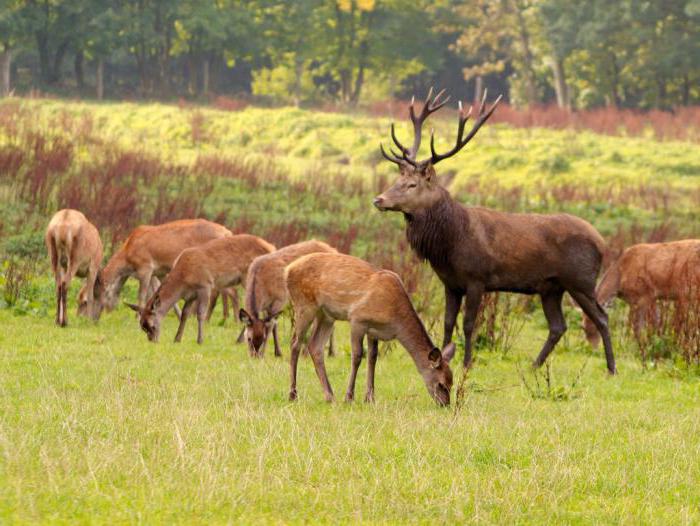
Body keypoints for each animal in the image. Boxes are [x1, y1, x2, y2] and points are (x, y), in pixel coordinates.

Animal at [126, 236, 276, 346]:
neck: (183, 278)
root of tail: (271, 248)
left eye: (152, 325)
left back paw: (240, 340)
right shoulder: (190, 294)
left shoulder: (205, 285)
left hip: (248, 278)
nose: (153, 341)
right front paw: (177, 338)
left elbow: (200, 314)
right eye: (142, 326)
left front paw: (200, 340)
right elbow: (185, 314)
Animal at [286, 255, 456, 408]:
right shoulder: (358, 319)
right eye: (441, 384)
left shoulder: (374, 330)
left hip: (326, 315)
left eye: (452, 383)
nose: (445, 404)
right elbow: (357, 356)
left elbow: (372, 358)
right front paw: (349, 397)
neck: (395, 319)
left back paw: (330, 396)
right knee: (295, 343)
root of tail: (288, 270)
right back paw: (293, 395)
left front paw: (369, 398)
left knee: (314, 346)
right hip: (304, 305)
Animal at [374, 88, 616, 376]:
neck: (449, 243)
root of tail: (602, 242)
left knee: (602, 317)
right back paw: (534, 366)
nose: (379, 199)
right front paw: (442, 358)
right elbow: (447, 322)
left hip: (580, 280)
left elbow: (468, 324)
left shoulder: (477, 278)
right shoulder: (450, 283)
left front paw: (467, 363)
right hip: (551, 287)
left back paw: (611, 368)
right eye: (396, 179)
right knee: (558, 326)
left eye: (412, 184)